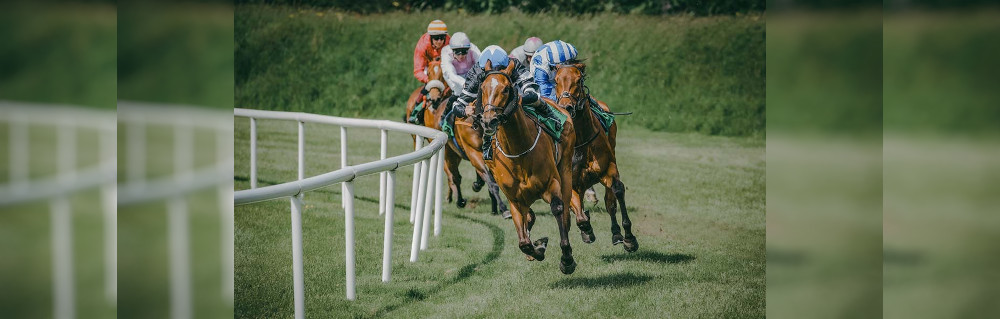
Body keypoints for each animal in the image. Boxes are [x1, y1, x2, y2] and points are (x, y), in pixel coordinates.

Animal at [476, 60, 580, 276]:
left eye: (506, 89)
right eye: (483, 88)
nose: (489, 121)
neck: (518, 151)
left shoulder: (551, 184)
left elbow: (558, 209)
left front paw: (566, 259)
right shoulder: (515, 199)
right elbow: (523, 241)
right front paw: (537, 248)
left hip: (565, 168)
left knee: (566, 210)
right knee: (530, 218)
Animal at [552, 61, 636, 254]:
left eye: (578, 80)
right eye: (556, 81)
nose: (566, 107)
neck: (581, 141)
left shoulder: (608, 168)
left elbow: (617, 191)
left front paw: (628, 238)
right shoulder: (571, 181)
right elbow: (579, 215)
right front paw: (586, 230)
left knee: (610, 200)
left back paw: (616, 233)